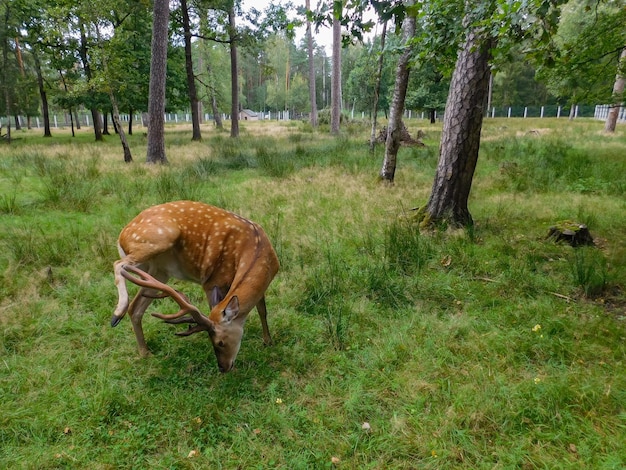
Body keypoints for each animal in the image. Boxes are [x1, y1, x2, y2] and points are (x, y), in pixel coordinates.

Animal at [111, 200, 280, 372]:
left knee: (135, 307)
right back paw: (117, 314)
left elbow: (262, 310)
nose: (223, 368)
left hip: (158, 272)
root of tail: (121, 237)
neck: (255, 246)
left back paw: (145, 353)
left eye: (220, 343)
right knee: (118, 264)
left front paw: (268, 341)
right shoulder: (212, 280)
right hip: (160, 238)